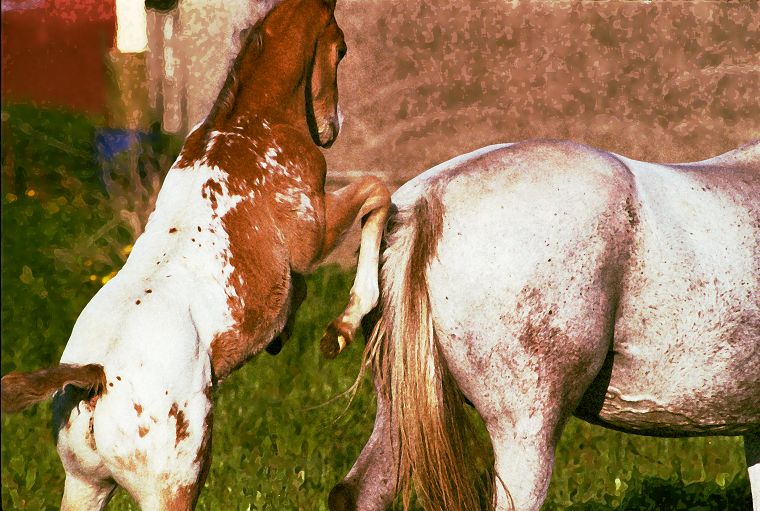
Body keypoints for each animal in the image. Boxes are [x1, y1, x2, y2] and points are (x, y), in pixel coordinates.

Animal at [0, 0, 390, 508]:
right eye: (341, 48)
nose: (331, 129)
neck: (248, 126)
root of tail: (95, 378)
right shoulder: (314, 235)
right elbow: (377, 193)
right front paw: (341, 330)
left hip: (84, 486)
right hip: (172, 491)